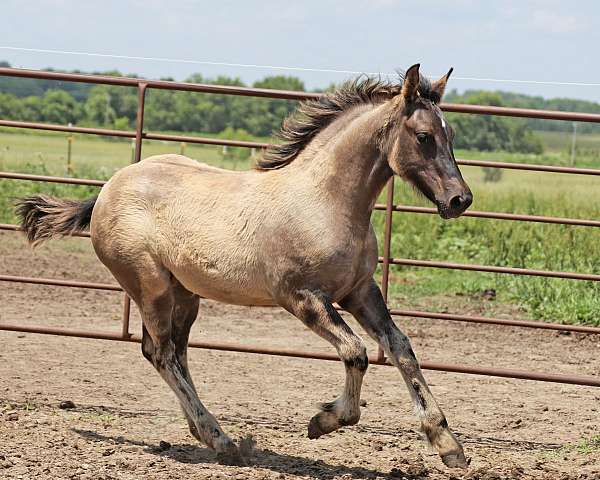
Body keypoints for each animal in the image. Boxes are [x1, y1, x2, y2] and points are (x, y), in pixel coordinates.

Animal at [15, 63, 474, 468]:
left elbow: (401, 349)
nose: (460, 200)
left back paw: (207, 434)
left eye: (451, 134)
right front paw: (323, 420)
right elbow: (356, 352)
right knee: (160, 353)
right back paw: (220, 439)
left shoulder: (360, 291)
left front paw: (447, 444)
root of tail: (106, 190)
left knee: (174, 352)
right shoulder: (301, 297)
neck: (324, 202)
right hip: (150, 287)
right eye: (424, 136)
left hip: (186, 295)